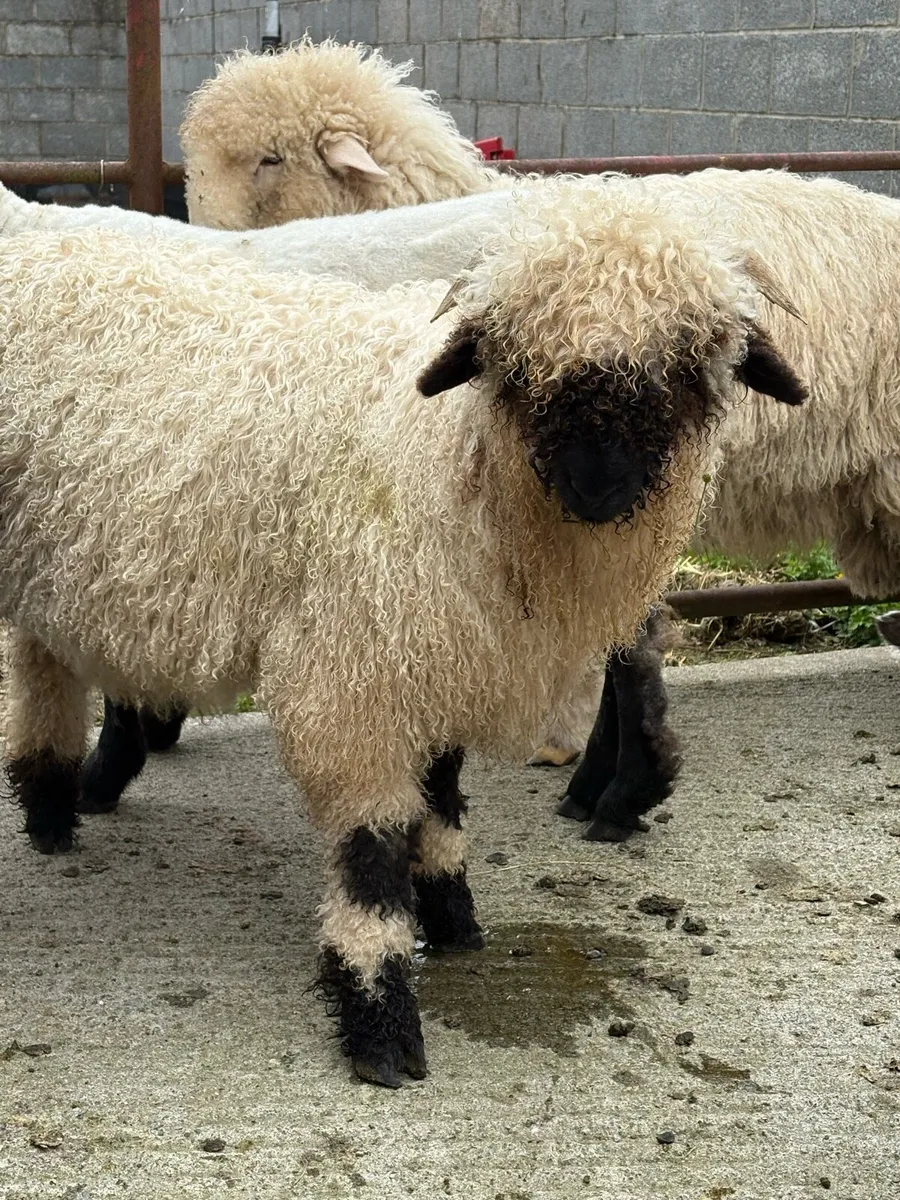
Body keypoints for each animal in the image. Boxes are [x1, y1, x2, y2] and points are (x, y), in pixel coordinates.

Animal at [0, 179, 804, 1084]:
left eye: (688, 366)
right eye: (515, 364)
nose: (598, 485)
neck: (455, 457)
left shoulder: (443, 651)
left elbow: (443, 796)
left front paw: (451, 916)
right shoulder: (359, 669)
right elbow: (372, 842)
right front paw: (379, 1012)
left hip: (57, 565)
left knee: (41, 659)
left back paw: (52, 805)